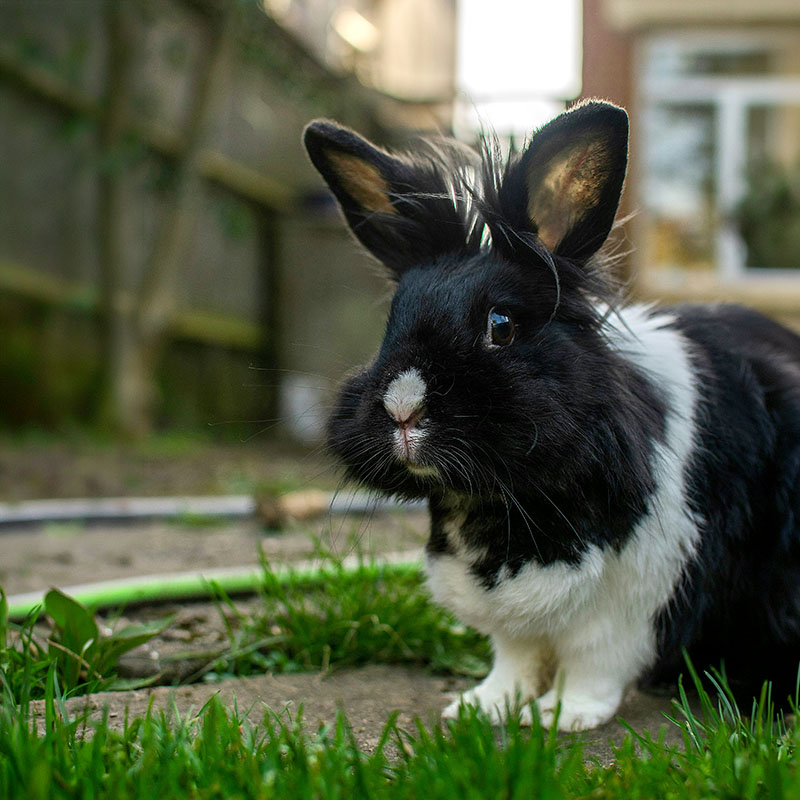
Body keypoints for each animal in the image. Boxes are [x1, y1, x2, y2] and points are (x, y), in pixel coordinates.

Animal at [302, 100, 800, 732]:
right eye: (392, 321)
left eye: (501, 325)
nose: (402, 407)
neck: (496, 502)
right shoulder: (512, 611)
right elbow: (514, 655)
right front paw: (481, 707)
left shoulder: (631, 599)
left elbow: (594, 665)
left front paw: (559, 717)